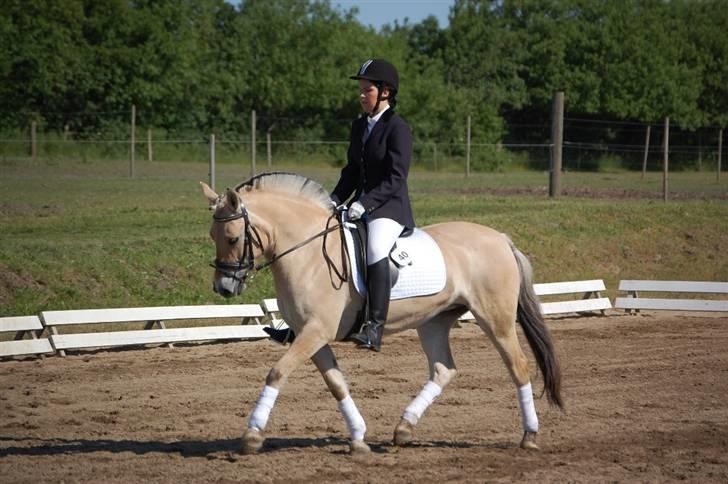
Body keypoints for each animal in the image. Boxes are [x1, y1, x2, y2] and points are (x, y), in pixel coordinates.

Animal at [199, 172, 564, 456]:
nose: (224, 288)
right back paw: (403, 429)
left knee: (518, 366)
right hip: (434, 321)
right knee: (443, 370)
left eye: (232, 237)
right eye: (212, 236)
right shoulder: (311, 334)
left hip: (495, 318)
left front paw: (252, 435)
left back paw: (530, 436)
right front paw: (359, 438)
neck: (308, 253)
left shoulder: (315, 331)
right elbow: (336, 384)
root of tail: (501, 238)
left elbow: (277, 373)